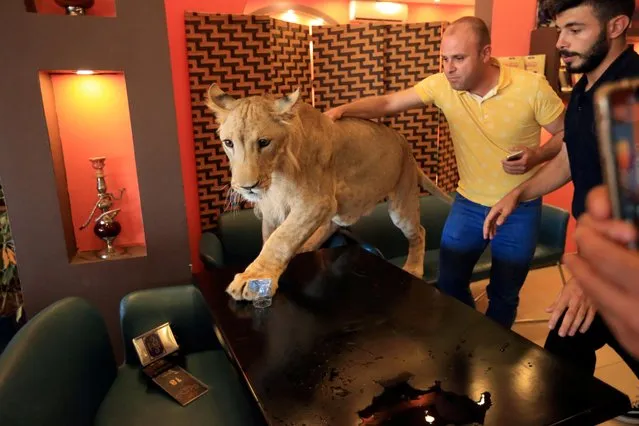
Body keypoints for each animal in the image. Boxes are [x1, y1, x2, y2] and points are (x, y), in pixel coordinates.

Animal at [208, 85, 452, 302]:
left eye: (264, 142)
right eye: (228, 143)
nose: (246, 186)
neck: (276, 173)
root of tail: (406, 147)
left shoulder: (316, 202)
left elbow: (281, 238)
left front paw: (253, 279)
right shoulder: (272, 209)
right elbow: (270, 238)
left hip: (401, 201)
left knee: (418, 231)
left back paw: (413, 268)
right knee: (333, 223)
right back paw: (306, 247)